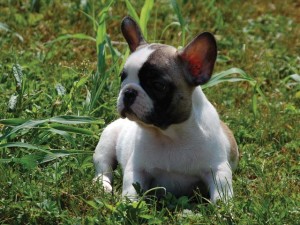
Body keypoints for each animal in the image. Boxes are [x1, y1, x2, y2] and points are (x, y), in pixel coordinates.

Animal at [94, 15, 239, 202]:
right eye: (122, 78)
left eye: (158, 85)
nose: (129, 92)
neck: (170, 135)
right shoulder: (137, 168)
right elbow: (131, 188)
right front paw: (128, 204)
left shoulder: (218, 169)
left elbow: (221, 194)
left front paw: (223, 208)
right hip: (106, 141)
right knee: (103, 167)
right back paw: (102, 185)